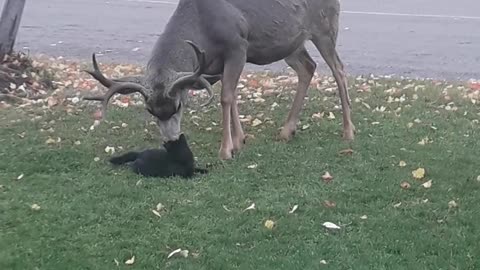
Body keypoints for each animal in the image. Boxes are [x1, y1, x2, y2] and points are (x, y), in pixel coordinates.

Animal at [82, 0, 354, 160]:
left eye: (178, 105)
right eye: (150, 110)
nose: (171, 141)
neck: (202, 27)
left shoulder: (238, 46)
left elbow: (225, 98)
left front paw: (226, 150)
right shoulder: (217, 64)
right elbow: (231, 96)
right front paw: (239, 140)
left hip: (325, 28)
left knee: (339, 69)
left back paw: (349, 131)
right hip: (291, 44)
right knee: (308, 67)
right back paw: (287, 130)